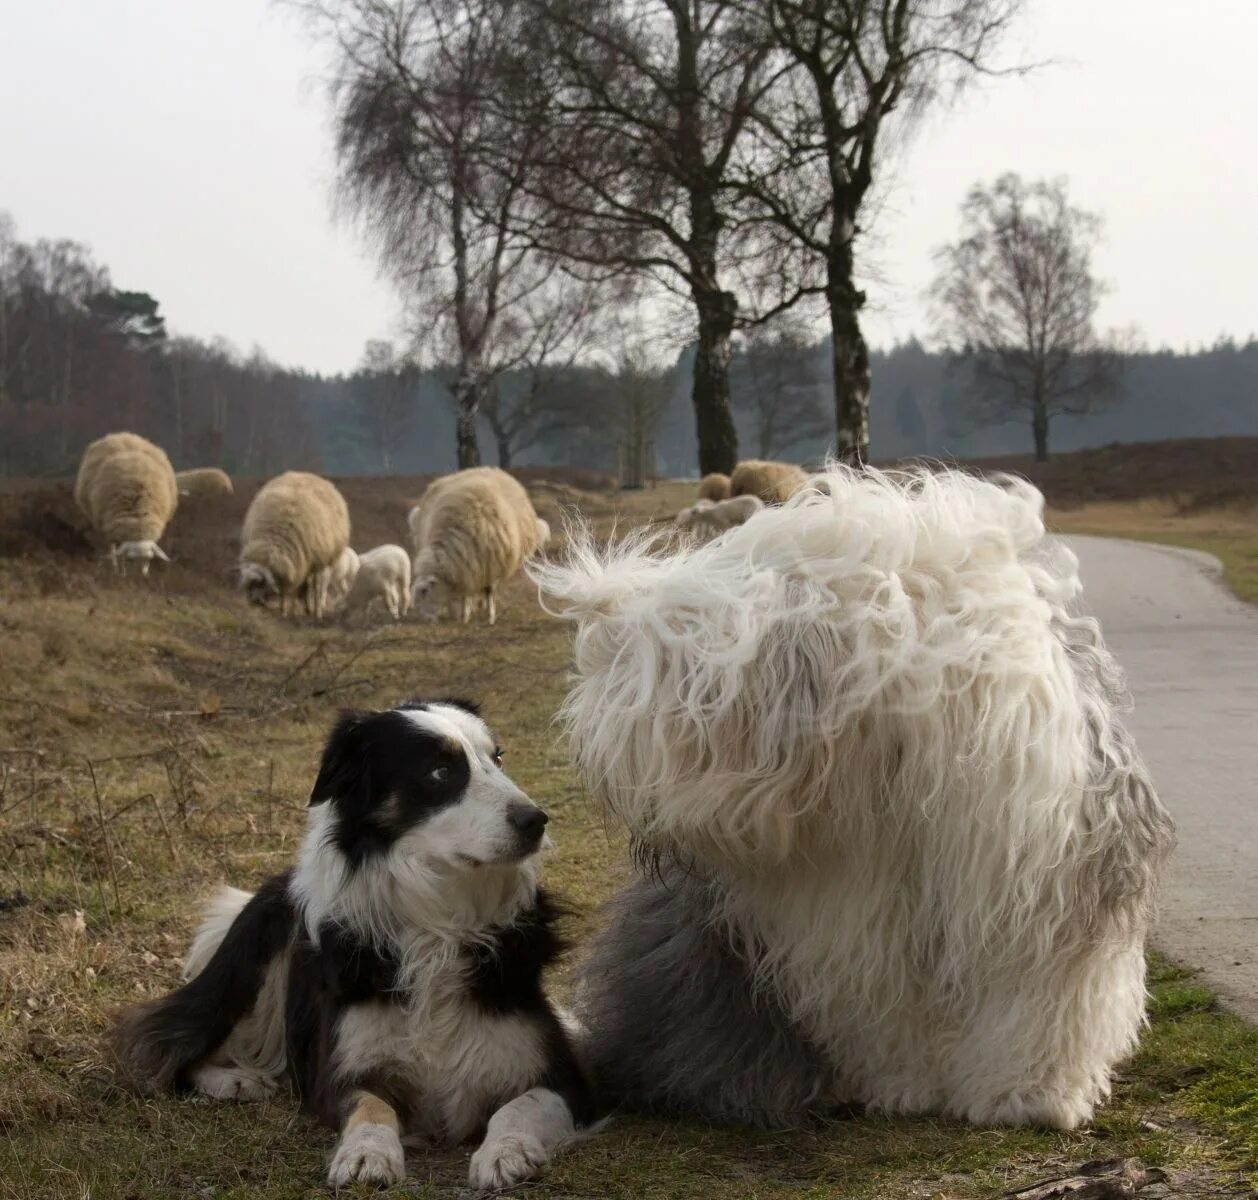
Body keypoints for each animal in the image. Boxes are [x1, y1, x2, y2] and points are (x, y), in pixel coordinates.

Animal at [74, 430, 179, 576]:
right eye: (130, 559)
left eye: (148, 559)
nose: (140, 577)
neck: (137, 517)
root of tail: (122, 434)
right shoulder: (109, 528)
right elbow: (116, 553)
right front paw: (119, 572)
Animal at [111, 699, 593, 1182]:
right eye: (439, 771)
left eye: (498, 758)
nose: (536, 820)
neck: (437, 922)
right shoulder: (342, 1072)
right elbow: (372, 1107)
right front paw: (367, 1153)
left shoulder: (558, 1075)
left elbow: (518, 1107)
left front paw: (508, 1150)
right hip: (249, 968)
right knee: (170, 1043)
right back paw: (236, 1078)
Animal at [237, 467, 349, 616]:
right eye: (249, 586)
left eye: (261, 583)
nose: (253, 602)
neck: (274, 540)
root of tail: (305, 473)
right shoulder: (290, 565)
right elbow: (287, 590)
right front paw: (285, 610)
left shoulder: (310, 562)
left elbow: (313, 588)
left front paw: (311, 612)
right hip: (304, 561)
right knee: (305, 585)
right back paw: (305, 607)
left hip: (320, 559)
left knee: (316, 585)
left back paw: (315, 610)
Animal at [405, 462, 538, 621]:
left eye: (424, 591)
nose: (424, 619)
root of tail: (489, 468)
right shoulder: (466, 567)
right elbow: (465, 593)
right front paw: (464, 615)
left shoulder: (490, 564)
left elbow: (489, 590)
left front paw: (490, 616)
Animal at [533, 467, 1177, 1132]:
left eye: (666, 685)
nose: (589, 756)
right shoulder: (847, 910)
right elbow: (884, 1003)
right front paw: (905, 1086)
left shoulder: (1036, 875)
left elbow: (1031, 991)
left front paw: (1026, 1095)